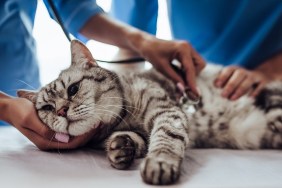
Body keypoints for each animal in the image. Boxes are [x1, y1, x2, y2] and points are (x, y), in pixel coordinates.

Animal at [18, 39, 282, 185]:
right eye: (47, 108)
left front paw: (160, 162)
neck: (122, 120)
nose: (61, 111)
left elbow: (166, 136)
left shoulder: (167, 111)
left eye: (73, 89)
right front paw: (121, 147)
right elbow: (136, 140)